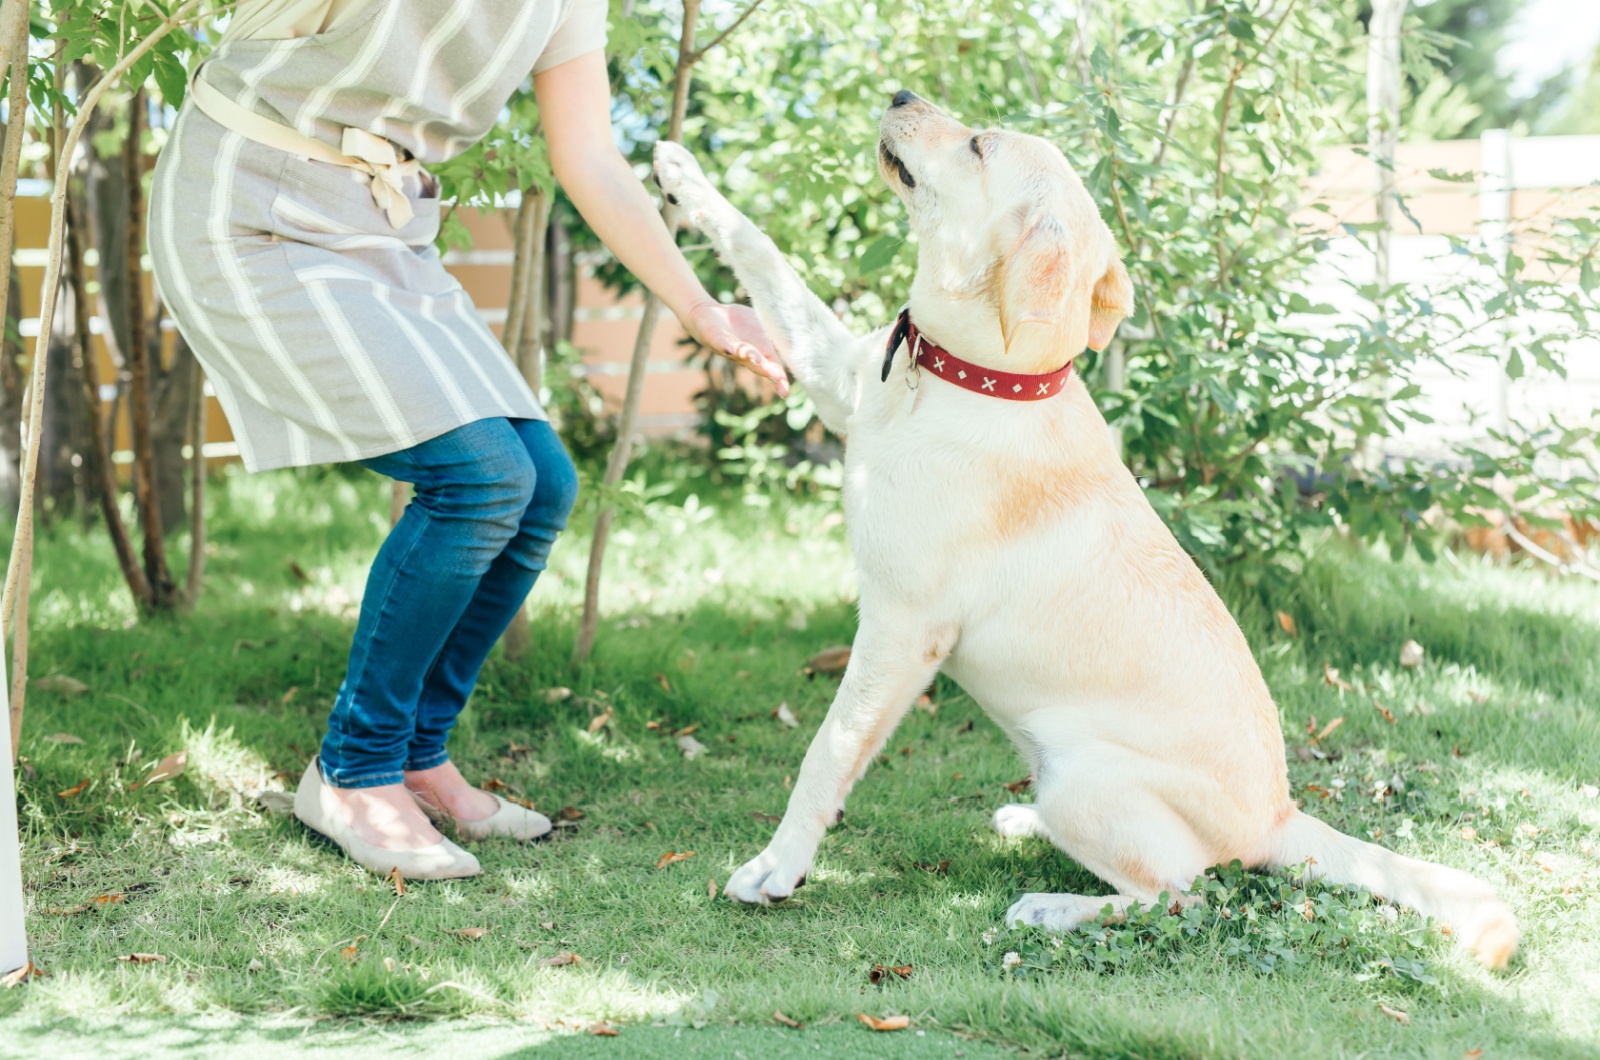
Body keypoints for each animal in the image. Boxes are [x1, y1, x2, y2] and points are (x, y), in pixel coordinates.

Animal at [652, 91, 1523, 973]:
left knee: (1186, 896)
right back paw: (1025, 824)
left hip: (1082, 776)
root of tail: (1281, 816)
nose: (900, 96)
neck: (979, 377)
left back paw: (1051, 908)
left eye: (977, 143)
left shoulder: (901, 628)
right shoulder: (838, 378)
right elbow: (765, 256)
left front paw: (777, 867)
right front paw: (683, 176)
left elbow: (827, 750)